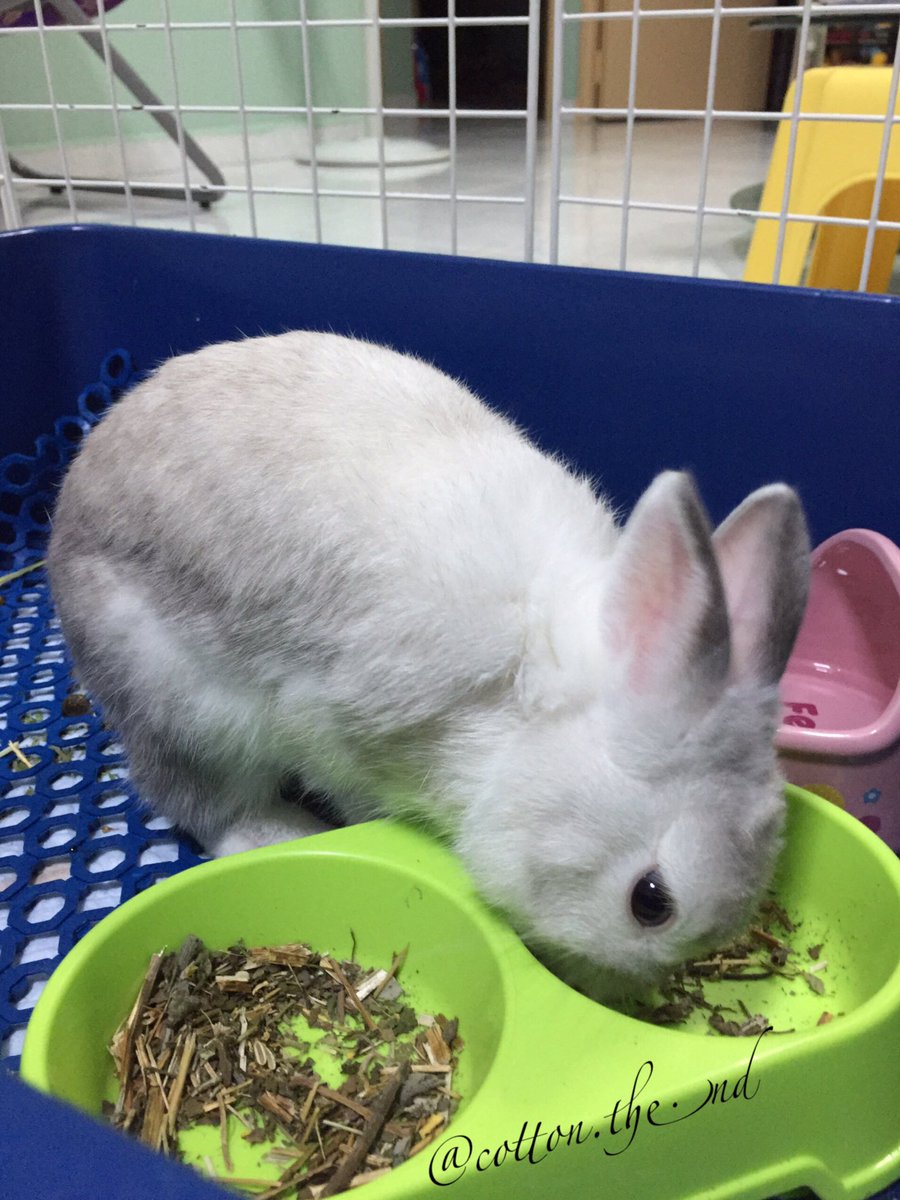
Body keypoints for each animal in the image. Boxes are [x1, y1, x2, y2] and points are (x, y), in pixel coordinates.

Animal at [47, 330, 810, 992]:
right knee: (204, 800)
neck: (523, 692)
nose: (617, 994)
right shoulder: (334, 731)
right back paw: (283, 829)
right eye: (650, 901)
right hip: (181, 703)